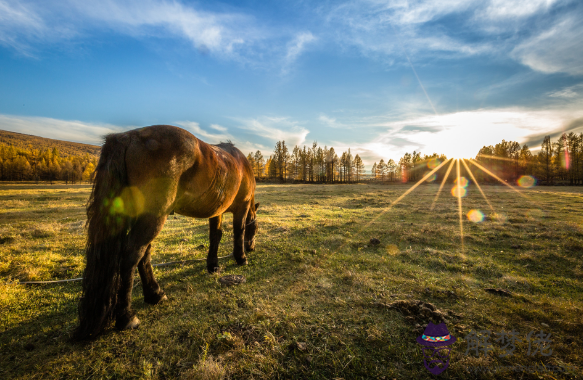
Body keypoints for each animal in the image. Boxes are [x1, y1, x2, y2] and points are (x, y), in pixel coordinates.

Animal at [72, 125, 258, 342]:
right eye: (256, 228)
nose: (251, 248)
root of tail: (128, 137)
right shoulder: (242, 207)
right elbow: (239, 231)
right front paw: (241, 258)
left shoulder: (216, 211)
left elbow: (216, 236)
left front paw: (213, 265)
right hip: (154, 217)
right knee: (132, 255)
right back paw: (127, 317)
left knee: (143, 254)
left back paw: (155, 294)